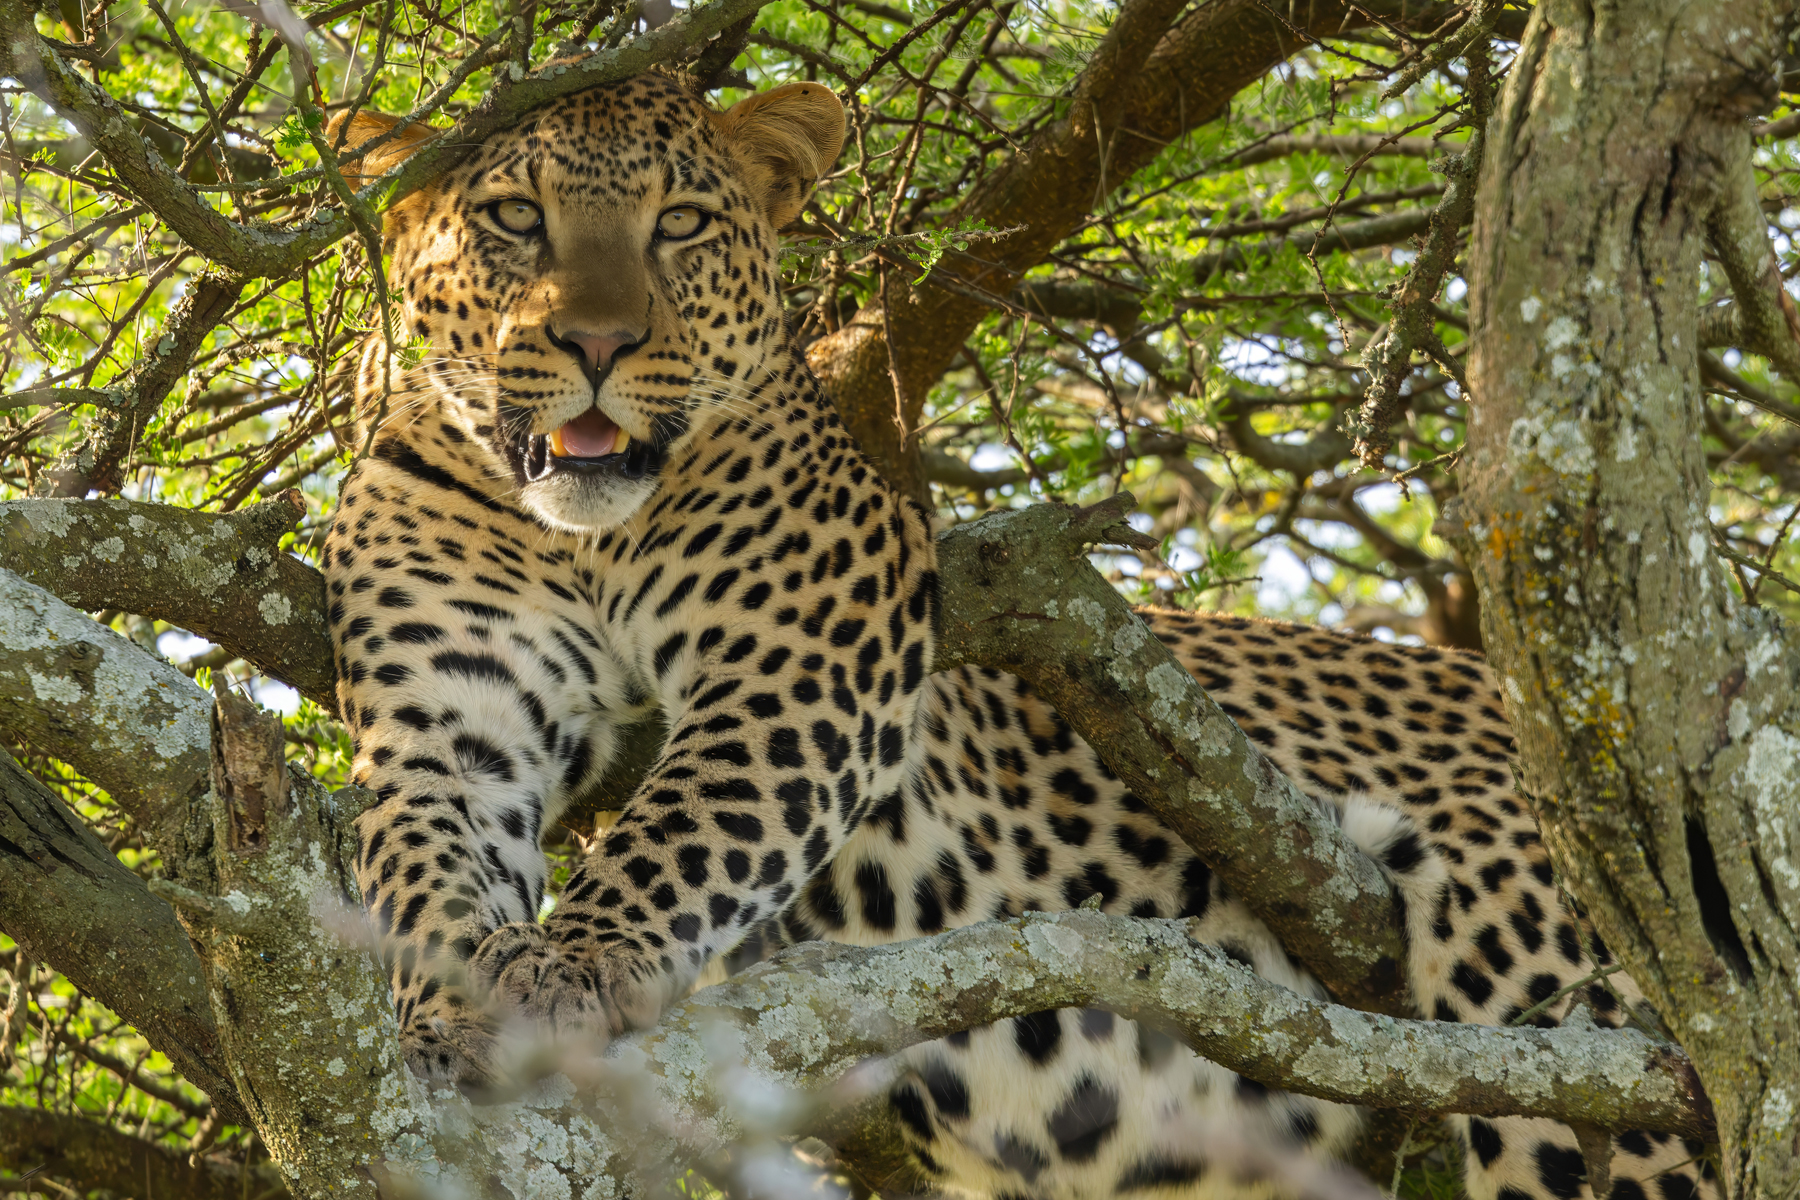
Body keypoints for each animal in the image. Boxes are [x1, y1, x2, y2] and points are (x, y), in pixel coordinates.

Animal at [318, 72, 1716, 1200]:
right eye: (514, 220)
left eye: (682, 227)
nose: (597, 341)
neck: (582, 534)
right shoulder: (446, 713)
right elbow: (424, 871)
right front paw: (451, 1020)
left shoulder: (810, 652)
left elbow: (682, 828)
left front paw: (572, 968)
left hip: (1566, 1013)